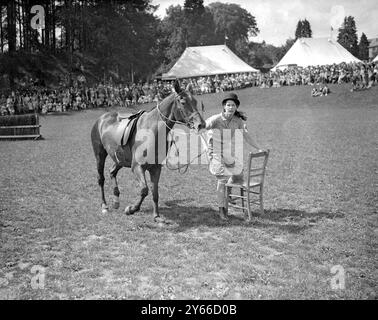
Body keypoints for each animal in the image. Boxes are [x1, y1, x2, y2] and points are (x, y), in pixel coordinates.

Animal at [90, 81, 205, 221]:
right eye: (183, 102)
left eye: (195, 101)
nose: (201, 124)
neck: (152, 130)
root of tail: (101, 119)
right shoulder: (137, 167)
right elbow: (144, 190)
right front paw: (131, 209)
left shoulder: (155, 168)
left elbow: (155, 192)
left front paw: (156, 216)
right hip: (100, 155)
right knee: (101, 178)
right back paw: (104, 205)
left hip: (120, 159)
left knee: (112, 171)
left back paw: (116, 201)